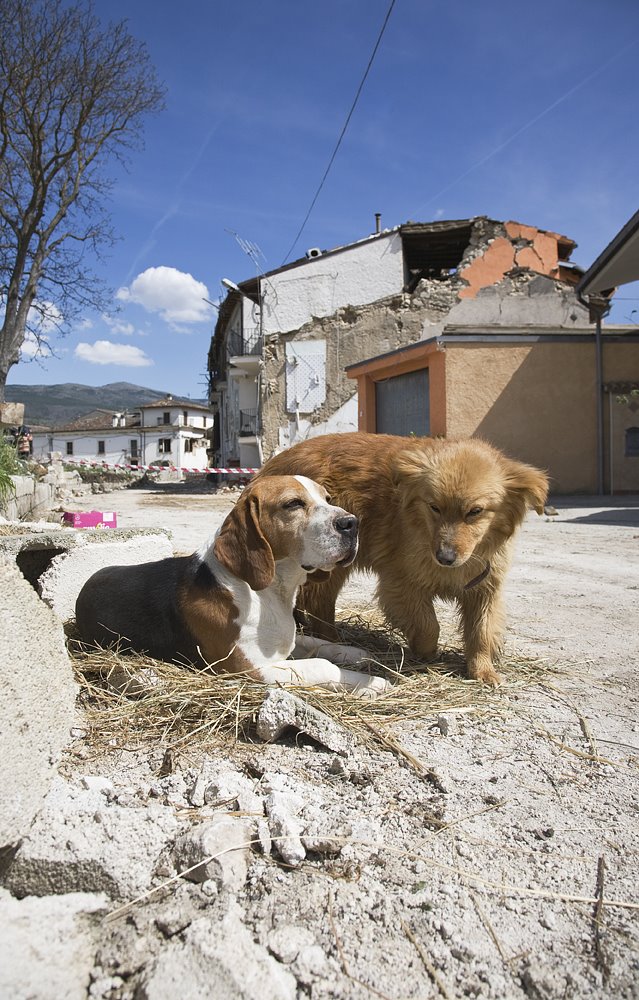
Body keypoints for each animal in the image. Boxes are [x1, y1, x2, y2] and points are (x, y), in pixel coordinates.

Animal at [72, 474, 388, 696]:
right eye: (293, 504)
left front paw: (355, 654)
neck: (268, 593)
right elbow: (322, 664)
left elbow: (316, 643)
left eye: (327, 498)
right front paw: (372, 682)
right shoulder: (247, 669)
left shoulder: (284, 641)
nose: (352, 523)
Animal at [258, 434, 548, 684]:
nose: (445, 557)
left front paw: (483, 670)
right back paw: (335, 640)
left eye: (475, 511)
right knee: (318, 603)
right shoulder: (402, 584)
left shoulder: (484, 588)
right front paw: (426, 653)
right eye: (434, 507)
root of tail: (272, 466)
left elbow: (482, 632)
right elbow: (429, 627)